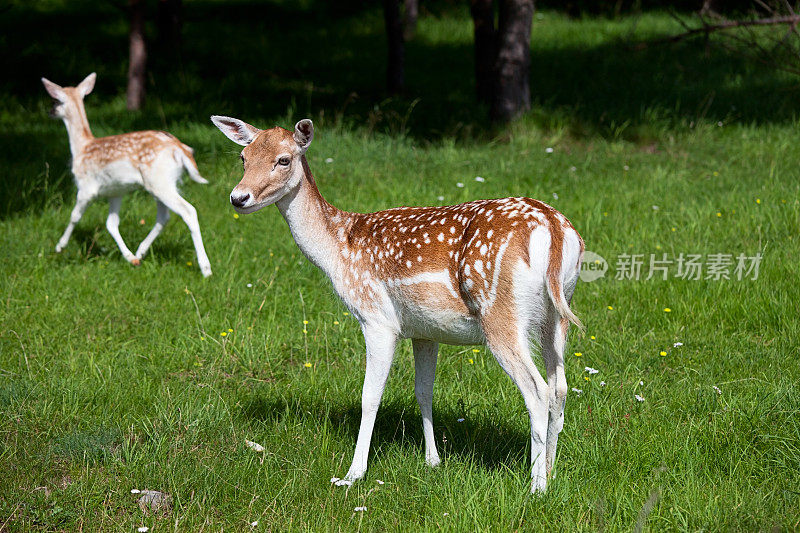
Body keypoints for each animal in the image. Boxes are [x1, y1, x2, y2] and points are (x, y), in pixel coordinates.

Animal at [43, 72, 212, 276]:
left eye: (56, 100)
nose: (49, 111)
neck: (81, 147)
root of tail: (180, 149)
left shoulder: (86, 186)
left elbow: (75, 216)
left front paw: (60, 246)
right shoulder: (116, 191)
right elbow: (111, 223)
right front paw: (130, 258)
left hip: (159, 181)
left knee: (188, 211)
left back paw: (206, 269)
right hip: (160, 184)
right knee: (164, 216)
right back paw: (140, 252)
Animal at [212, 115, 584, 490]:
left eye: (284, 159)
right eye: (243, 157)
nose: (238, 197)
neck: (339, 249)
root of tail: (554, 228)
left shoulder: (376, 318)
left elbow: (370, 395)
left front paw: (352, 474)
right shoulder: (425, 330)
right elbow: (424, 391)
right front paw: (433, 460)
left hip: (500, 312)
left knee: (537, 390)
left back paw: (537, 486)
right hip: (557, 312)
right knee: (560, 387)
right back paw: (551, 469)